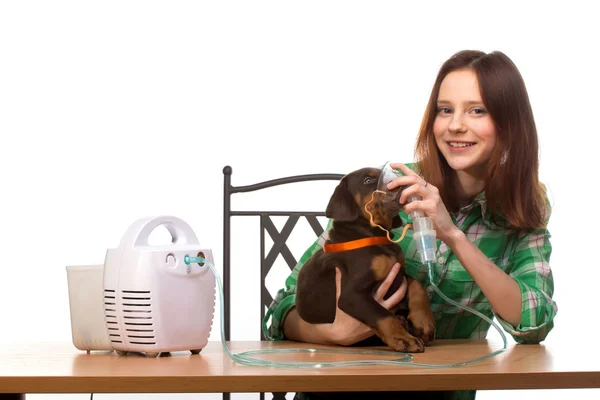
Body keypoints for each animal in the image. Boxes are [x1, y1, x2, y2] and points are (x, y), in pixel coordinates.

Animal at [296, 167, 434, 352]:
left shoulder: (400, 272)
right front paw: (403, 339)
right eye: (368, 180)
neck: (375, 236)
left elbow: (418, 287)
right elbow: (383, 315)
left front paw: (424, 322)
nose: (402, 182)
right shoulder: (351, 295)